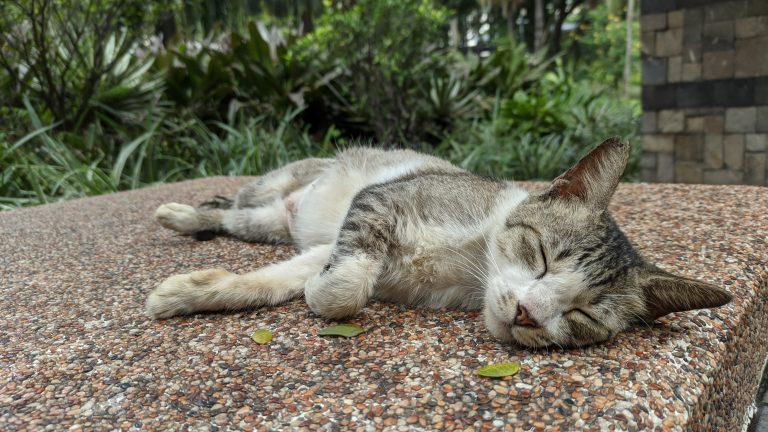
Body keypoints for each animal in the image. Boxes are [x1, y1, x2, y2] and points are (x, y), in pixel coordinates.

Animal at [148, 138, 732, 348]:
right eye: (542, 256)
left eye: (583, 315)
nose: (526, 312)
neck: (467, 263)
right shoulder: (380, 200)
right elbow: (345, 287)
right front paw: (324, 295)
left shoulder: (331, 246)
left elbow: (281, 280)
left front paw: (192, 292)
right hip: (277, 185)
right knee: (228, 205)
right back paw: (177, 212)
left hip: (269, 224)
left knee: (240, 221)